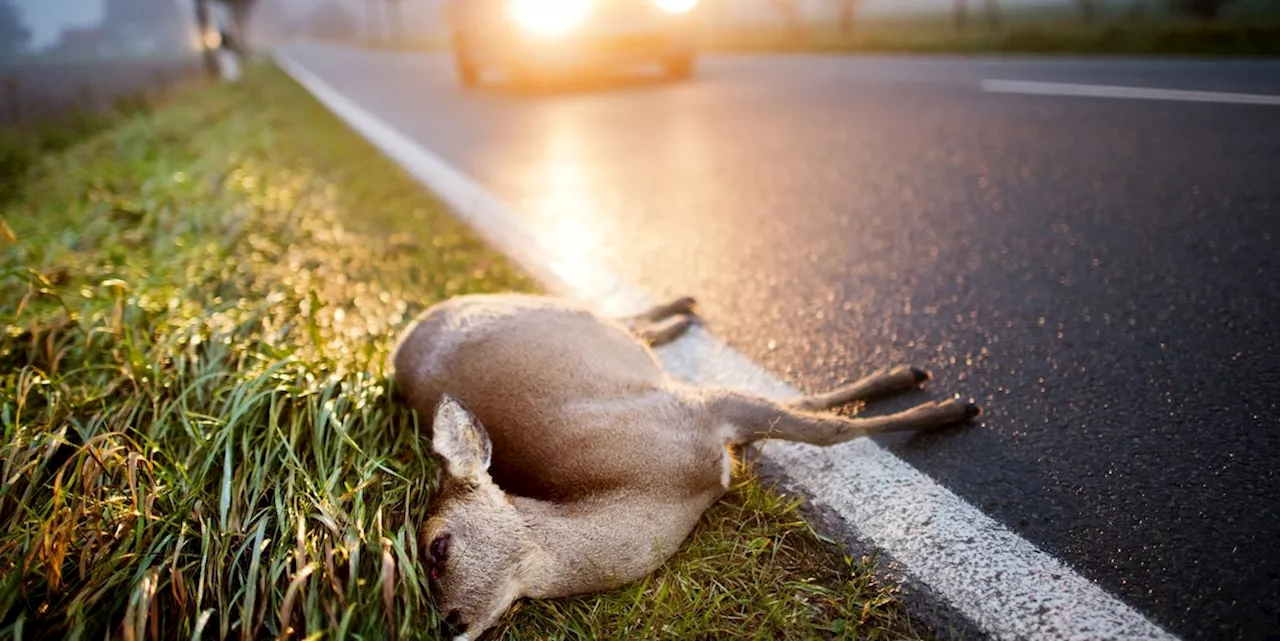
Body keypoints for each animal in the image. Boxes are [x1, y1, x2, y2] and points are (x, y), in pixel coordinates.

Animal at [389, 292, 977, 637]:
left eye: (437, 546)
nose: (446, 624)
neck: (664, 487)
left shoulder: (698, 409)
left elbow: (827, 428)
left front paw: (944, 405)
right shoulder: (706, 415)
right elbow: (811, 414)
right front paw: (925, 393)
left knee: (616, 313)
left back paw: (682, 309)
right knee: (625, 320)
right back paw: (680, 315)